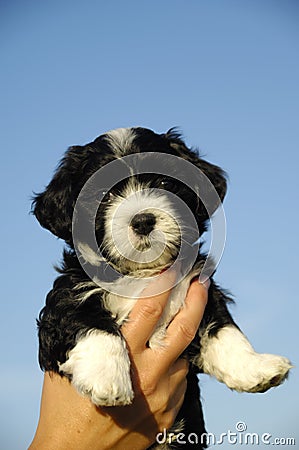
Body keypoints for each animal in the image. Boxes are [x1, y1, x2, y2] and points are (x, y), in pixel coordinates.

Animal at [33, 127, 292, 450]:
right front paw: (107, 377)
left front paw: (255, 368)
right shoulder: (66, 297)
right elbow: (89, 322)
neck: (141, 274)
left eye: (165, 183)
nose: (143, 220)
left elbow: (224, 329)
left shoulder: (199, 288)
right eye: (104, 194)